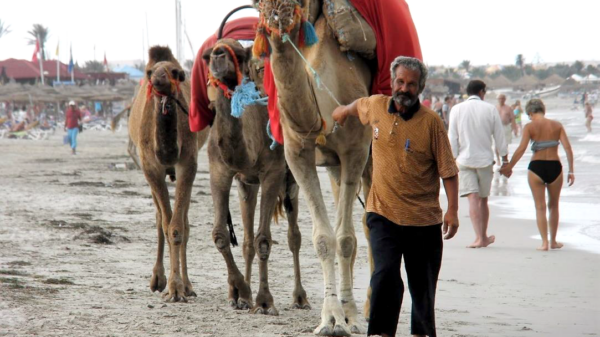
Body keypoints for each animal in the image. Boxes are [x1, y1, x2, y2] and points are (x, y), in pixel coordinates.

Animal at [129, 45, 209, 302]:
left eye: (176, 72)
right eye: (149, 72)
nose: (158, 78)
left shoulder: (188, 164)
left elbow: (177, 227)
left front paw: (178, 288)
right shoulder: (150, 168)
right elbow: (165, 224)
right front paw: (167, 285)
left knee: (183, 221)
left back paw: (188, 285)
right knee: (159, 218)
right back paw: (157, 279)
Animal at [204, 38, 312, 314]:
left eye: (239, 55)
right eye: (208, 55)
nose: (218, 56)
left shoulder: (272, 173)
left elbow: (264, 239)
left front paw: (264, 301)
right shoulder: (220, 171)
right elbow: (221, 235)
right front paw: (240, 293)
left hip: (291, 179)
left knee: (294, 236)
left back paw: (300, 298)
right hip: (247, 185)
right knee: (246, 241)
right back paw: (243, 297)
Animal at [252, 1, 376, 334]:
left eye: (292, 6)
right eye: (259, 5)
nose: (277, 17)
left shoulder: (356, 151)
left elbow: (345, 239)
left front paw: (348, 318)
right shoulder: (298, 154)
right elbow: (324, 238)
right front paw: (332, 317)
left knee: (368, 225)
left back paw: (367, 307)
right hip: (333, 166)